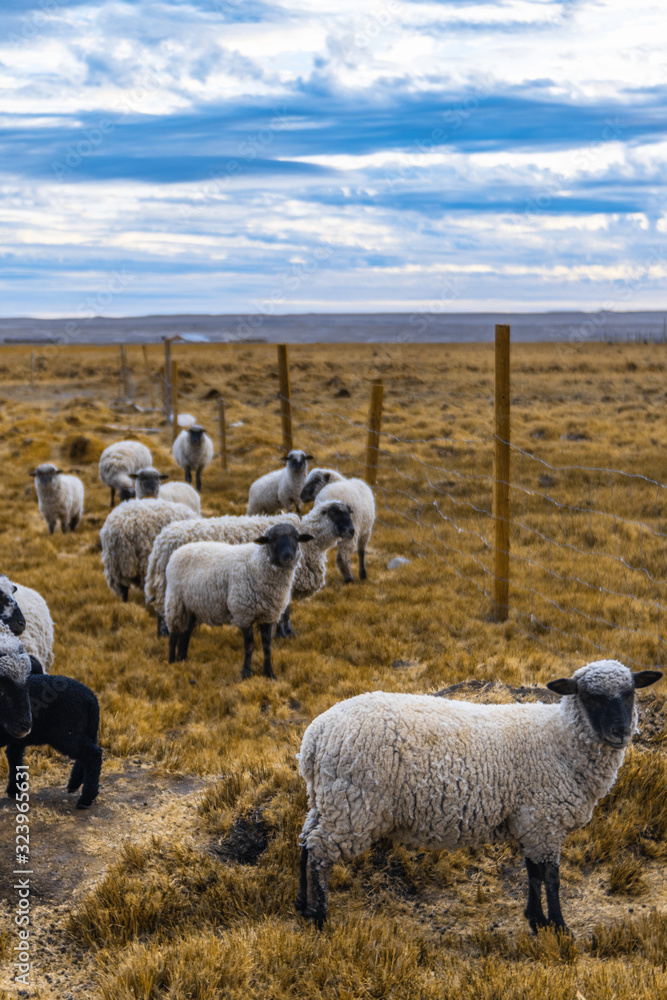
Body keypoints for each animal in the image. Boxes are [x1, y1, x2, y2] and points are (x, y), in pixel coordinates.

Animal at [1, 673, 102, 809]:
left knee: (93, 754)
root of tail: (92, 698)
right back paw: (73, 785)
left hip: (65, 734)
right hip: (86, 730)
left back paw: (85, 800)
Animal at [145, 501, 355, 638]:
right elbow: (285, 611)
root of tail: (162, 539)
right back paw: (165, 633)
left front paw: (284, 632)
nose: (352, 531)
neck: (312, 544)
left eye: (349, 513)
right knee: (164, 608)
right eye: (335, 513)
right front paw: (285, 633)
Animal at [163, 522, 314, 676]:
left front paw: (269, 674)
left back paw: (183, 660)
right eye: (272, 539)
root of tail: (179, 550)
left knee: (186, 633)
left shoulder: (268, 615)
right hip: (175, 601)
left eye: (296, 538)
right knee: (174, 634)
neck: (257, 564)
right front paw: (246, 673)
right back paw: (172, 662)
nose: (288, 556)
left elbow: (267, 646)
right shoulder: (244, 613)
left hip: (192, 607)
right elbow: (249, 645)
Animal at [295, 659, 663, 931]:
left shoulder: (529, 820)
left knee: (305, 841)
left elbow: (533, 873)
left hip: (327, 798)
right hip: (354, 805)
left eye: (629, 693)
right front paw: (559, 927)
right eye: (589, 696)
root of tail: (314, 738)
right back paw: (321, 916)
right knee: (319, 851)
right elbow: (551, 878)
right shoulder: (543, 820)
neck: (560, 738)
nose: (620, 732)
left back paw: (302, 906)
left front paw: (536, 920)